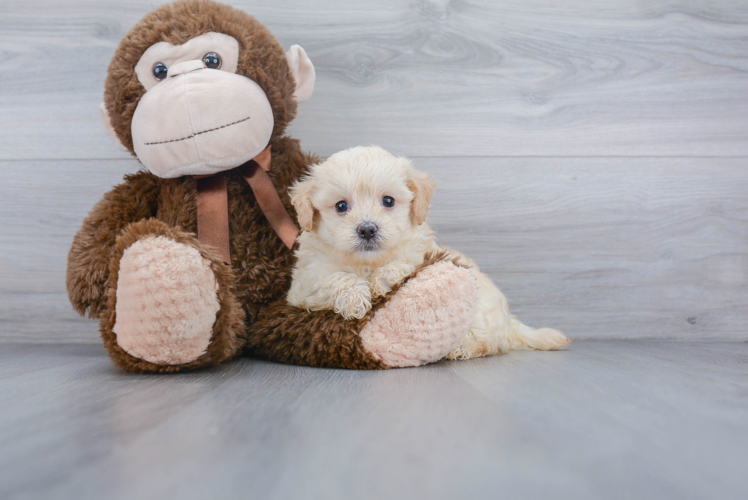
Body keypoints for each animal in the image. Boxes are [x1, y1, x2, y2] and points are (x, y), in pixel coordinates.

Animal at [288, 145, 572, 360]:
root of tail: (509, 320)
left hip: (482, 311)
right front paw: (354, 298)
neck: (368, 263)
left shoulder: (421, 254)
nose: (367, 229)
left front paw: (387, 278)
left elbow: (406, 263)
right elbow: (332, 278)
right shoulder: (303, 285)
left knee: (491, 343)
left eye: (388, 201)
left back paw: (461, 348)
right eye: (341, 206)